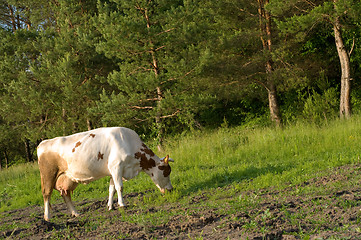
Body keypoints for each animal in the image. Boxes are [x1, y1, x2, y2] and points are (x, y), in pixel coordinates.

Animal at [37, 127, 172, 221]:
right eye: (166, 172)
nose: (171, 189)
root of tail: (43, 143)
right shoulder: (117, 166)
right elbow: (119, 187)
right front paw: (122, 204)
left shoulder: (113, 170)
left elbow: (112, 189)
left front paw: (110, 206)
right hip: (48, 174)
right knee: (46, 193)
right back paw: (47, 217)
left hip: (67, 178)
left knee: (65, 194)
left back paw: (75, 213)